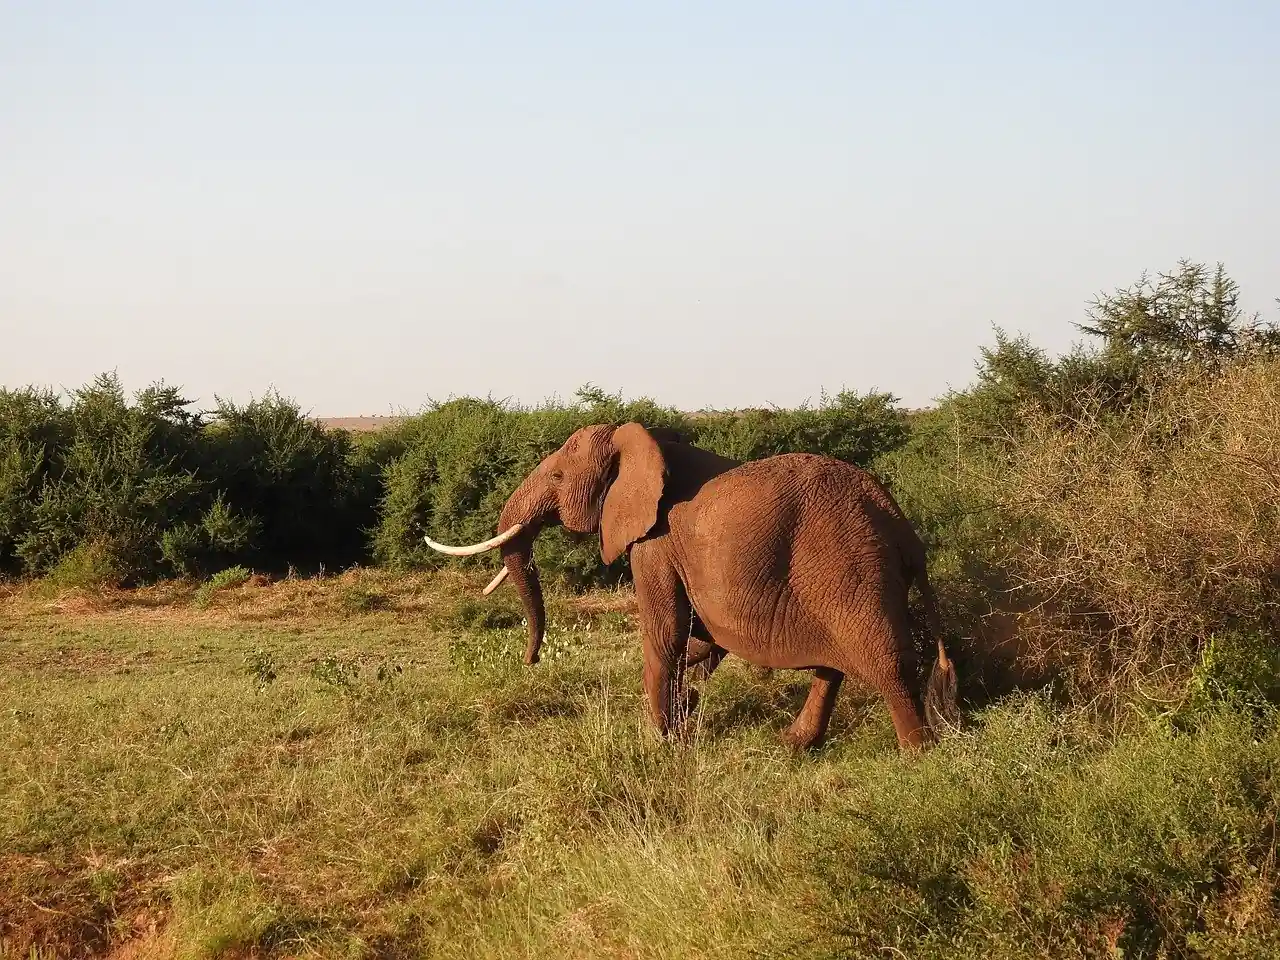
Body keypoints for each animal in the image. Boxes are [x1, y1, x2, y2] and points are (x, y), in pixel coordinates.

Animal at [424, 422, 959, 751]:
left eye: (556, 475)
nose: (530, 659)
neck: (638, 442)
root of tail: (901, 525)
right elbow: (694, 636)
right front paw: (688, 709)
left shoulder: (654, 543)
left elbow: (666, 632)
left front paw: (661, 740)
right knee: (834, 664)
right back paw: (793, 746)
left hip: (851, 565)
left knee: (887, 663)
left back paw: (918, 757)